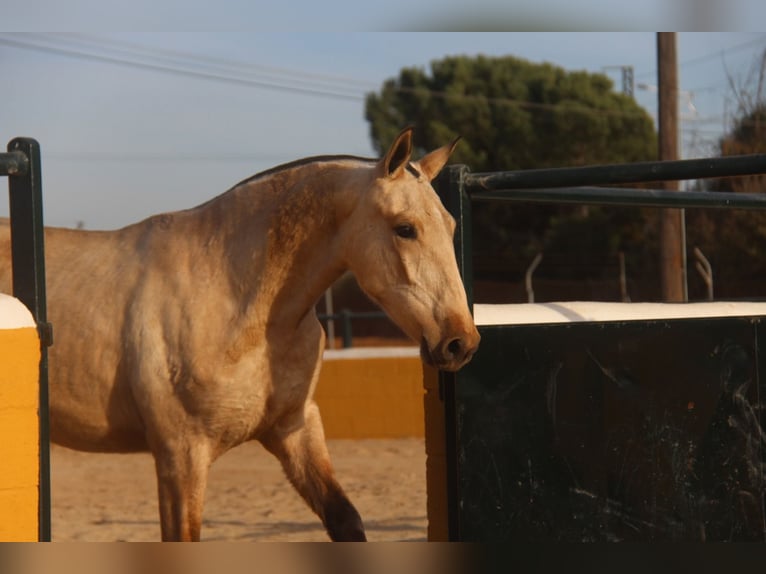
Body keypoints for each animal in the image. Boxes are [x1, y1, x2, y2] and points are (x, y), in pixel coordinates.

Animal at [0, 127, 480, 541]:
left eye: (452, 227)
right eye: (405, 228)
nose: (461, 342)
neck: (240, 309)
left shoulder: (294, 429)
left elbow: (346, 520)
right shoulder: (181, 456)